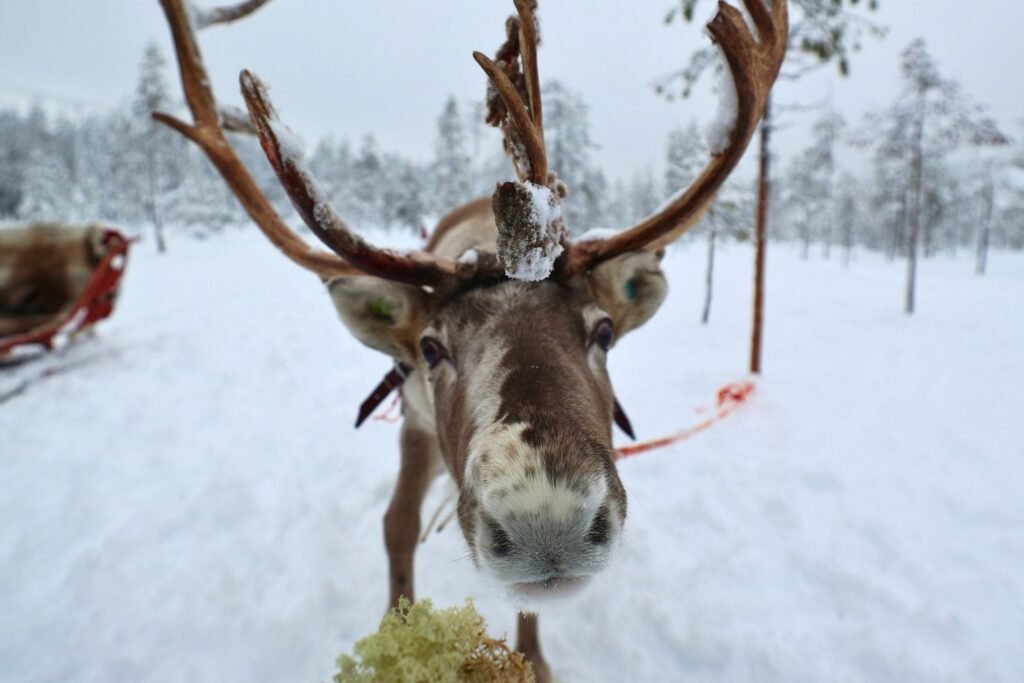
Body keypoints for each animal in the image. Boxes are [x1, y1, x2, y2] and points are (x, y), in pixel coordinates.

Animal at [154, 0, 787, 678]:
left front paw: (533, 660)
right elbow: (396, 525)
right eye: (431, 348)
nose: (546, 523)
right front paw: (396, 629)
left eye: (604, 331)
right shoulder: (415, 421)